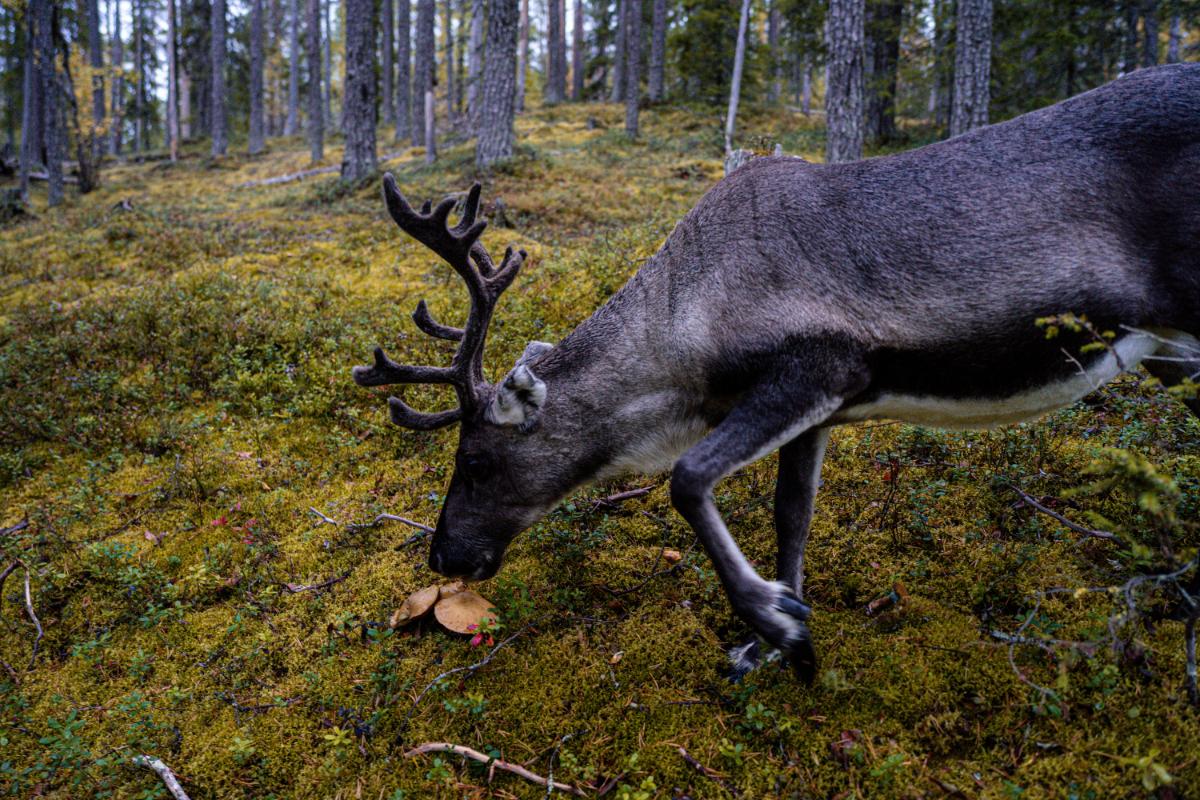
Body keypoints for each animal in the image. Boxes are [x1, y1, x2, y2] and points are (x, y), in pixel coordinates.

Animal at [353, 64, 1200, 683]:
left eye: (475, 460)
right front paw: (771, 632)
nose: (442, 557)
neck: (684, 330)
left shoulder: (820, 364)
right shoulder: (824, 407)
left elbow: (688, 478)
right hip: (1172, 351)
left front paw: (776, 621)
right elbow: (792, 513)